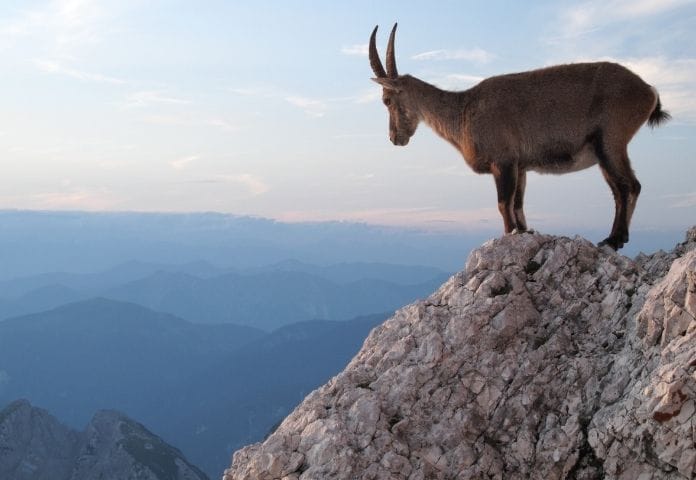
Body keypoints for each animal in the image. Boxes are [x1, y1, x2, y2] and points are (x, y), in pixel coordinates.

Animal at [369, 24, 670, 250]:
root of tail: (649, 91)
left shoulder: (503, 162)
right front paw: (525, 234)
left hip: (611, 141)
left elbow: (504, 205)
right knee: (619, 189)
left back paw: (615, 240)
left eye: (386, 100)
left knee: (630, 186)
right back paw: (615, 238)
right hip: (604, 151)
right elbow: (518, 206)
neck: (463, 111)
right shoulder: (521, 166)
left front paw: (509, 238)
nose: (395, 138)